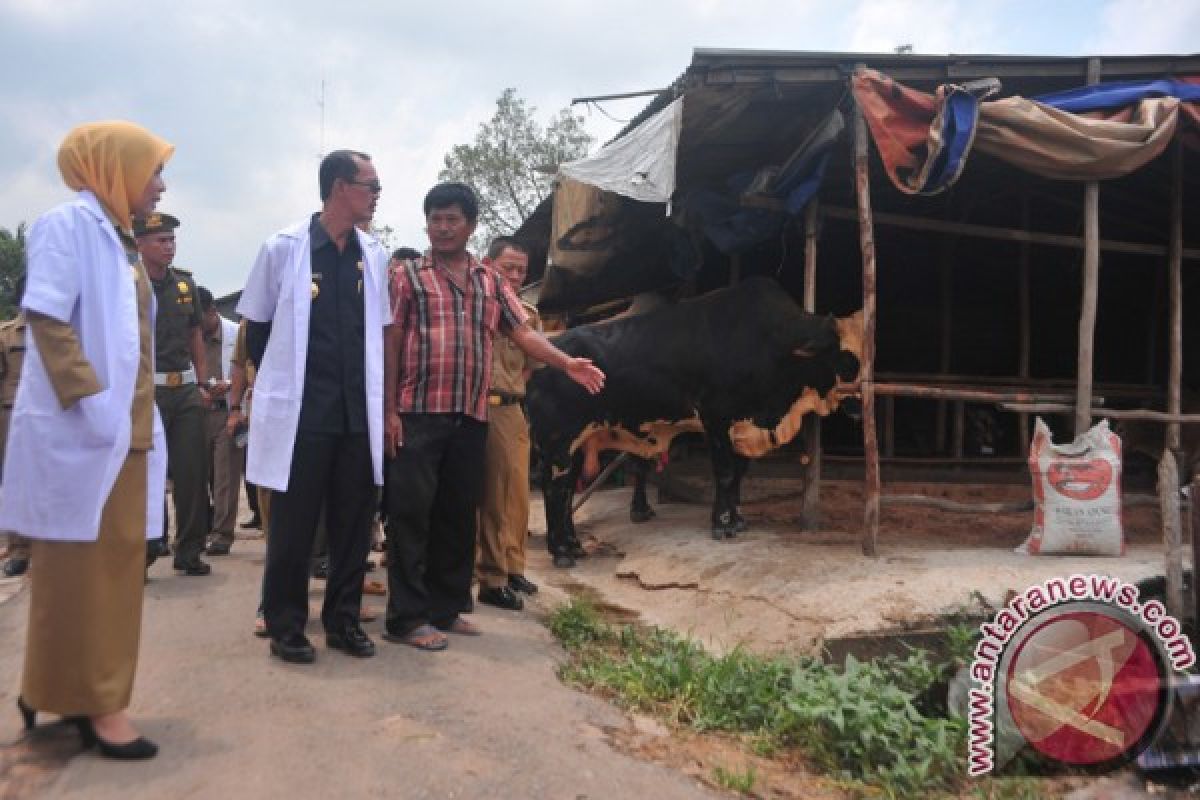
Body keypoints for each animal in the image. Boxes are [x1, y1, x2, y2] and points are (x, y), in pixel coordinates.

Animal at [528, 278, 864, 566]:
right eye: (846, 358)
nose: (861, 405)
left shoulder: (741, 426)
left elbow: (739, 475)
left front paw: (738, 521)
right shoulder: (715, 417)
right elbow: (726, 474)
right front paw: (722, 525)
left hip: (576, 443)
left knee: (567, 489)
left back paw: (573, 545)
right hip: (557, 441)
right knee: (554, 489)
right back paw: (561, 552)